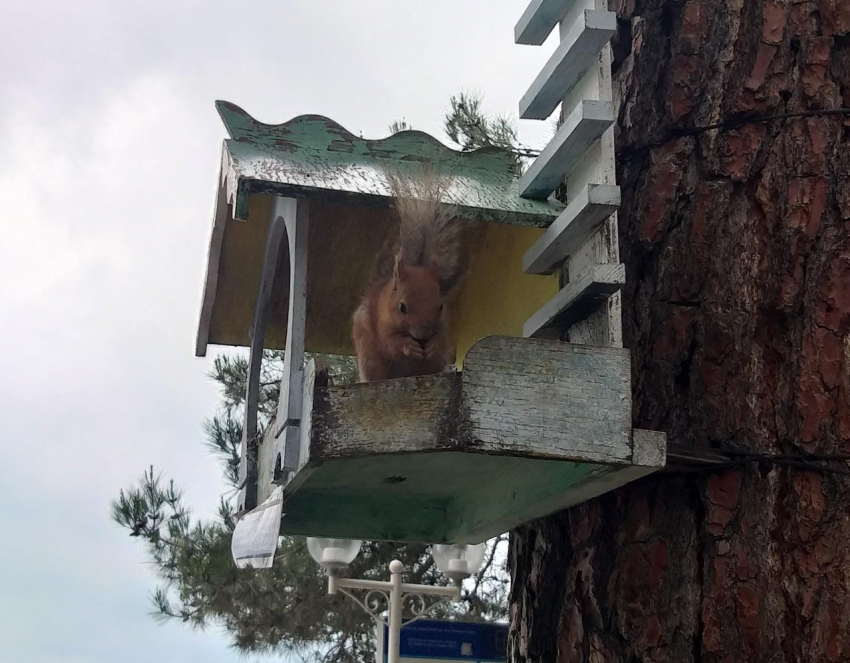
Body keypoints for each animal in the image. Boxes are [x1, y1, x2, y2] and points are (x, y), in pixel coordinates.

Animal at [354, 170, 468, 384]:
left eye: (441, 307)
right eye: (402, 307)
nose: (423, 336)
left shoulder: (442, 327)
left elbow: (440, 340)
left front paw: (431, 346)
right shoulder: (382, 321)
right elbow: (390, 342)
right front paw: (409, 346)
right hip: (370, 360)